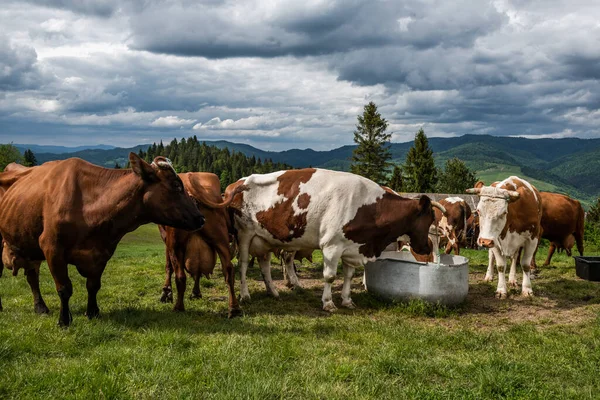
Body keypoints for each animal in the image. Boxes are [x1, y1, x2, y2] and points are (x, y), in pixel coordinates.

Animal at [225, 167, 446, 310]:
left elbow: (348, 276)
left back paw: (273, 292)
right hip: (244, 235)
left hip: (265, 239)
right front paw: (328, 303)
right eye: (428, 219)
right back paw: (245, 295)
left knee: (265, 266)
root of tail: (237, 182)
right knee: (242, 265)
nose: (426, 248)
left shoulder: (353, 247)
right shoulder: (331, 246)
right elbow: (330, 276)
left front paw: (347, 300)